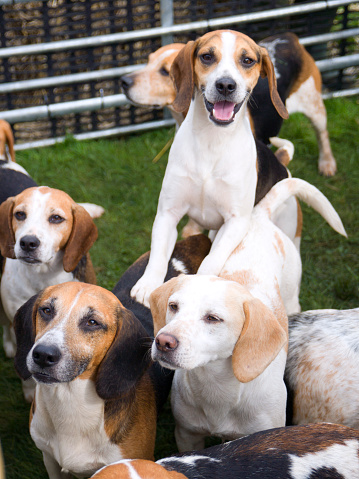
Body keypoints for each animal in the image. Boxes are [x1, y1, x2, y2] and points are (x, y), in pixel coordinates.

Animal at [12, 236, 212, 479]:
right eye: (46, 310)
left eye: (92, 322)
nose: (43, 354)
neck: (70, 402)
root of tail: (192, 241)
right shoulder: (50, 461)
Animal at [121, 32, 338, 178]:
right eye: (148, 61)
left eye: (165, 72)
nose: (124, 81)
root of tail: (288, 37)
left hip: (314, 106)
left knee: (323, 133)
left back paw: (327, 162)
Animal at [131, 30, 298, 308]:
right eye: (207, 56)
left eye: (247, 60)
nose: (226, 85)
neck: (212, 140)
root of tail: (281, 164)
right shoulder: (167, 213)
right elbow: (157, 255)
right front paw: (147, 284)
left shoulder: (235, 222)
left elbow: (211, 260)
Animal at [149, 177, 346, 454]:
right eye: (173, 306)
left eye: (212, 318)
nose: (163, 342)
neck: (218, 387)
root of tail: (259, 215)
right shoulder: (187, 435)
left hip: (292, 297)